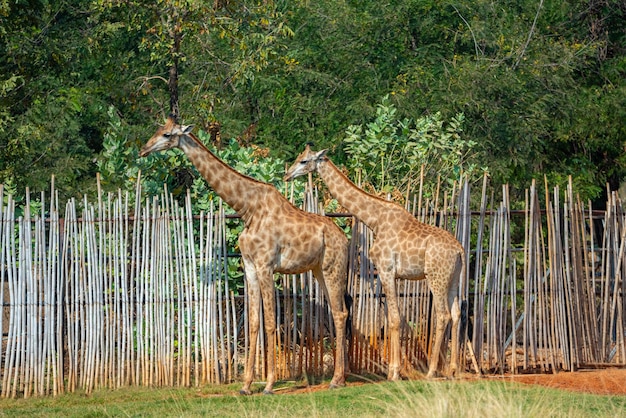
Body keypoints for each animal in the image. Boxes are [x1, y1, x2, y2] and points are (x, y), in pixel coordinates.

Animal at [138, 117, 348, 396]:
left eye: (167, 134)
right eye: (157, 130)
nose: (143, 150)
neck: (247, 209)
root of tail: (345, 239)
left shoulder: (266, 265)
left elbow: (270, 323)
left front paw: (268, 385)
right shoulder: (249, 266)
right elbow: (253, 324)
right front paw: (246, 385)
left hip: (333, 268)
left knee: (340, 313)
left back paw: (337, 379)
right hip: (318, 270)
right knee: (338, 312)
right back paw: (340, 378)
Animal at [284, 145, 464, 380]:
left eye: (304, 161)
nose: (287, 175)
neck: (375, 221)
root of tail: (460, 251)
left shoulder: (386, 270)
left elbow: (394, 319)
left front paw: (394, 372)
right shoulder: (392, 274)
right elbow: (393, 319)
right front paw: (395, 370)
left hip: (436, 277)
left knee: (443, 315)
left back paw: (432, 371)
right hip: (454, 279)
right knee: (457, 313)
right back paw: (453, 370)